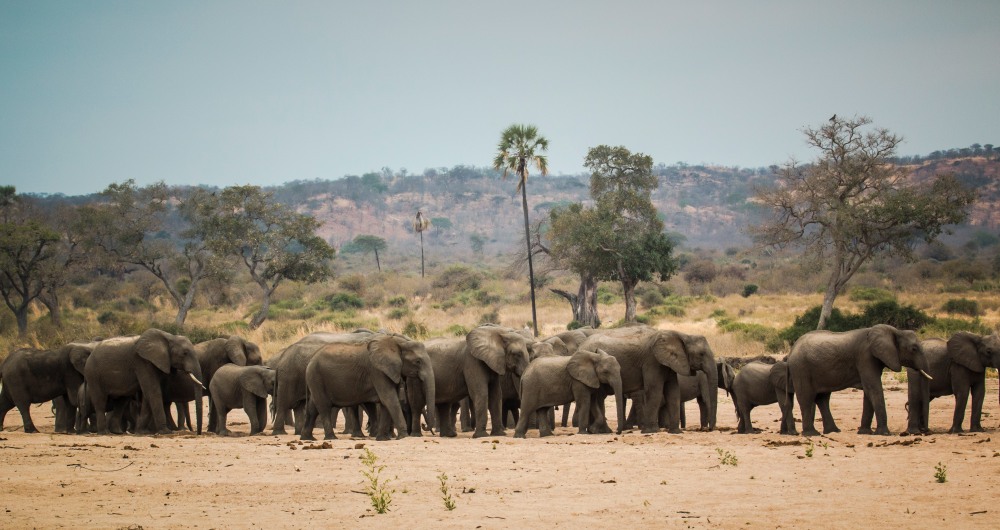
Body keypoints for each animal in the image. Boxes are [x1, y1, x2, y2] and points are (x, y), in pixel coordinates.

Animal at [300, 331, 435, 441]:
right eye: (418, 362)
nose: (425, 425)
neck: (397, 343)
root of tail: (311, 360)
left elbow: (386, 402)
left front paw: (383, 439)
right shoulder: (377, 371)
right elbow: (389, 399)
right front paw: (403, 437)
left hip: (315, 380)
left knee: (313, 407)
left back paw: (308, 438)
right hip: (316, 377)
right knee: (324, 406)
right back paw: (331, 438)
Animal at [579, 326, 712, 434]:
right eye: (701, 354)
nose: (709, 430)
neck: (682, 335)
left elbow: (673, 392)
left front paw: (676, 432)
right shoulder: (652, 361)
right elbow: (654, 391)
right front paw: (651, 431)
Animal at [788, 324, 931, 437]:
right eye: (914, 349)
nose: (925, 431)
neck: (896, 331)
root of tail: (792, 349)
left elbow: (869, 391)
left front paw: (865, 432)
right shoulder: (865, 356)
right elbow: (873, 388)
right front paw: (884, 433)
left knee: (822, 399)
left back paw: (833, 431)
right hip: (801, 368)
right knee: (806, 398)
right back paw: (812, 434)